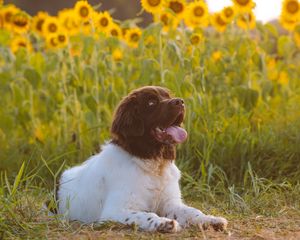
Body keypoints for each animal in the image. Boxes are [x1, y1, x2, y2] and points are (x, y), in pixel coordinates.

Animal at [54, 86, 227, 232]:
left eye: (168, 96)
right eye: (151, 102)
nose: (180, 101)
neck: (152, 163)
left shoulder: (170, 203)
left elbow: (192, 211)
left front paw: (210, 220)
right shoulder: (115, 211)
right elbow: (146, 215)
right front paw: (163, 223)